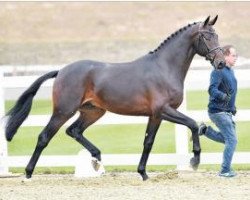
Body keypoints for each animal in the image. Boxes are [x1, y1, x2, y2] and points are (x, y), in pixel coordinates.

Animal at [5, 16, 225, 180]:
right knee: (44, 137)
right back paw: (28, 173)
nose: (221, 63)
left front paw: (143, 173)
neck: (164, 68)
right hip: (63, 111)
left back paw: (97, 158)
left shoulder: (156, 115)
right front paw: (194, 161)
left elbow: (148, 142)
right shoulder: (163, 110)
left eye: (216, 35)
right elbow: (193, 124)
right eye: (206, 37)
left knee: (74, 131)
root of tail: (61, 71)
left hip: (93, 112)